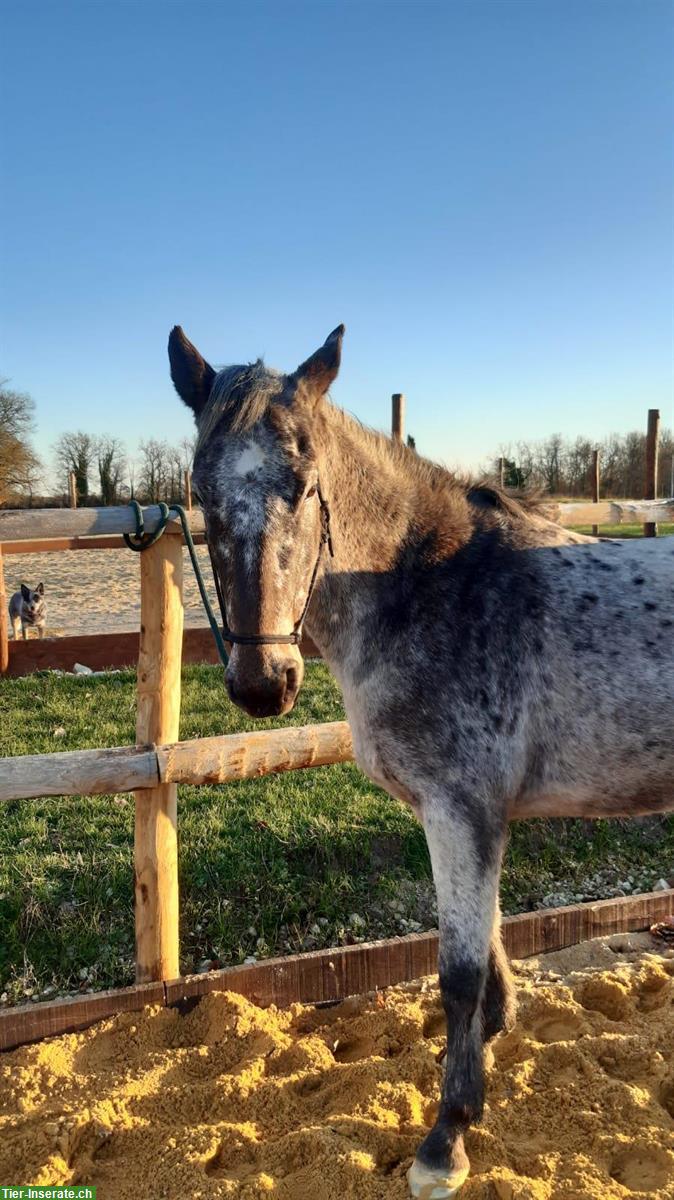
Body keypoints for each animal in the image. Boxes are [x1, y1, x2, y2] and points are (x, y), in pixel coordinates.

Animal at [169, 324, 671, 1195]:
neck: (428, 585)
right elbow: (490, 952)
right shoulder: (470, 817)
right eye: (201, 494)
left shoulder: (460, 812)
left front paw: (446, 1137)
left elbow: (460, 973)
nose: (264, 683)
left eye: (305, 485)